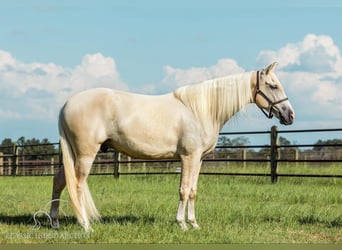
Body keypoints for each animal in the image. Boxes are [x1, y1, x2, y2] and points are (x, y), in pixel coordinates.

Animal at [50, 61, 294, 231]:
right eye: (272, 86)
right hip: (85, 154)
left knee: (60, 180)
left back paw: (55, 222)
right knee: (77, 184)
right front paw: (182, 224)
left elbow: (193, 190)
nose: (289, 115)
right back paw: (85, 225)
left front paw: (194, 224)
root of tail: (66, 105)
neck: (200, 110)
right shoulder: (188, 157)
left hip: (73, 155)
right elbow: (184, 189)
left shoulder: (198, 159)